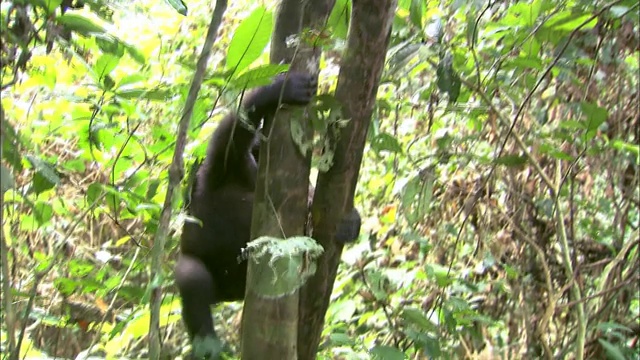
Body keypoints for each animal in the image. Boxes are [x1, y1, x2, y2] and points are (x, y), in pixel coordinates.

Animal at [176, 71, 360, 358]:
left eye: (259, 154)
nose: (255, 156)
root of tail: (230, 294)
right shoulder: (218, 166)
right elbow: (231, 131)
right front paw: (278, 90)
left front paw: (350, 223)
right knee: (191, 275)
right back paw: (208, 345)